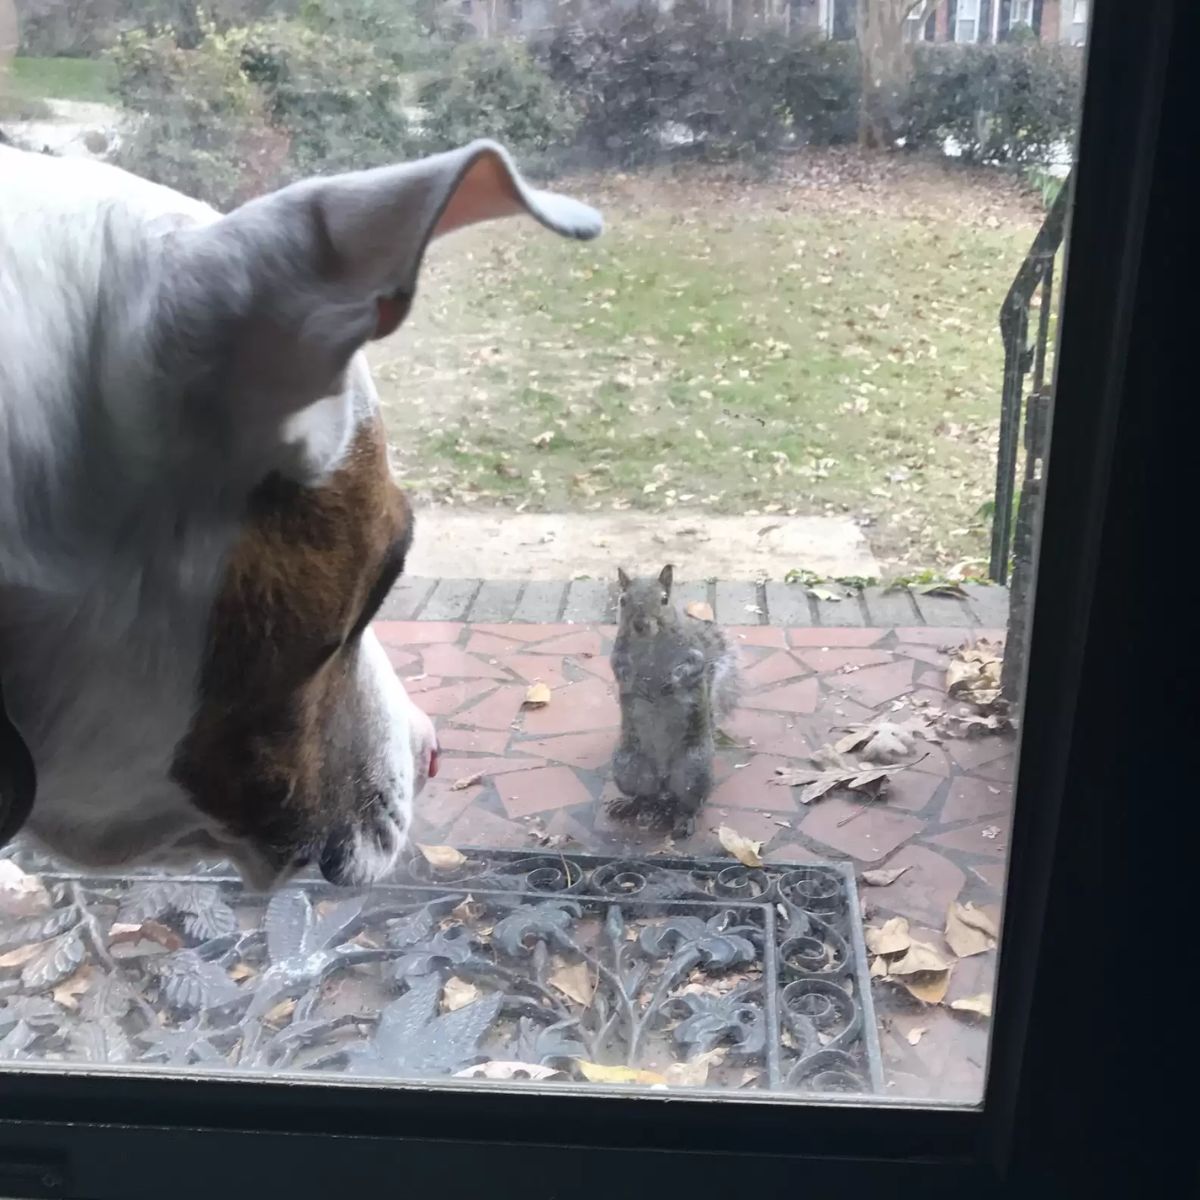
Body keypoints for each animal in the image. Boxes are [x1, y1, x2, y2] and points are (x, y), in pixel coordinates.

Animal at [609, 566, 739, 840]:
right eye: (623, 600)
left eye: (664, 599)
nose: (640, 624)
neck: (650, 642)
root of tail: (663, 779)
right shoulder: (619, 650)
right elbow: (617, 666)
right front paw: (633, 683)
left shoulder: (691, 652)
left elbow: (693, 667)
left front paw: (671, 683)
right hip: (628, 767)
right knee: (645, 796)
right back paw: (629, 805)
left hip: (694, 773)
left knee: (689, 804)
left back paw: (684, 820)